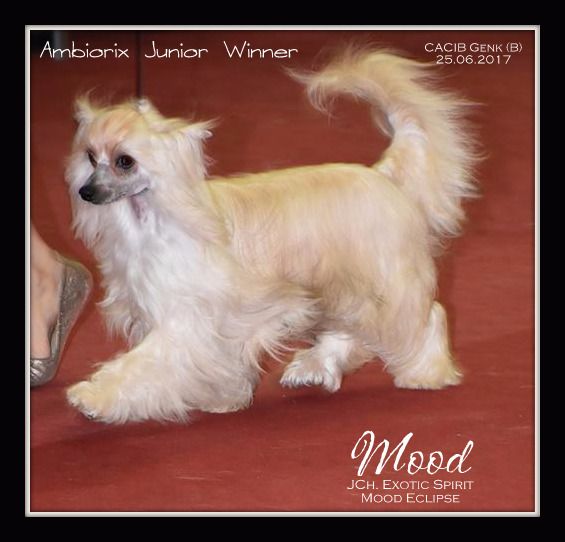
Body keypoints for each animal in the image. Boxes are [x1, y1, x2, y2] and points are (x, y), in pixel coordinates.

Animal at [65, 47, 478, 423]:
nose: (86, 191)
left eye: (125, 161)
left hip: (384, 287)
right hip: (335, 291)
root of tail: (383, 175)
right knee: (348, 334)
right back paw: (314, 368)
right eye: (90, 157)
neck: (153, 223)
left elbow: (145, 362)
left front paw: (93, 397)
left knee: (428, 318)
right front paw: (225, 399)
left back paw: (426, 373)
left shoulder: (187, 320)